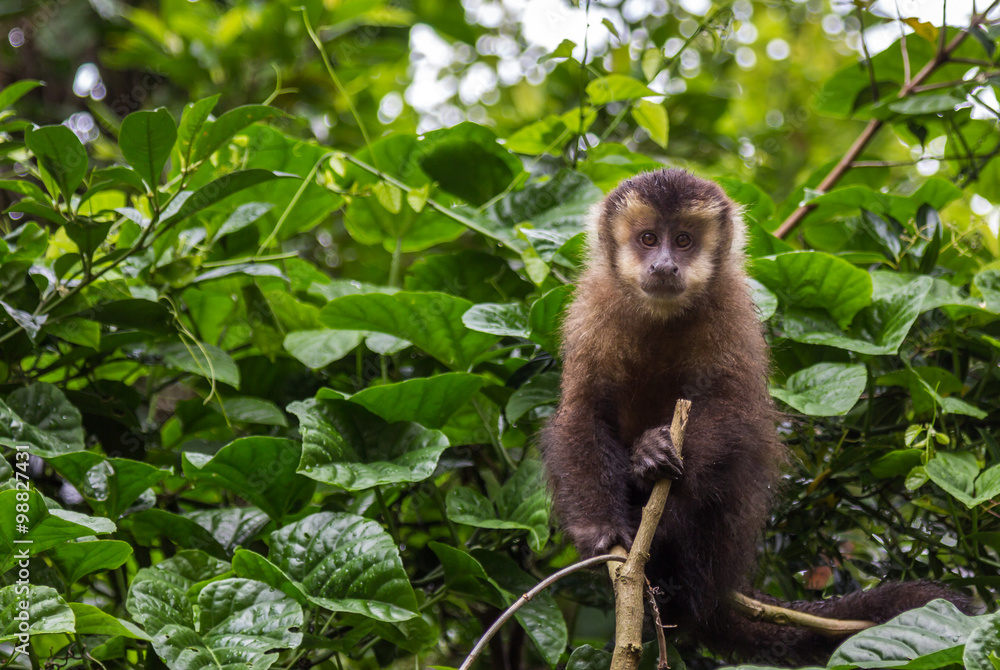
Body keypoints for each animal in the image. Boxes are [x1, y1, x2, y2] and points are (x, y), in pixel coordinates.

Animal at [540, 169, 968, 668]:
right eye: (648, 239)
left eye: (683, 240)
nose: (664, 265)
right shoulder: (591, 308)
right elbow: (583, 413)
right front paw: (601, 530)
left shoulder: (731, 309)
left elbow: (735, 415)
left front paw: (653, 458)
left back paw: (674, 572)